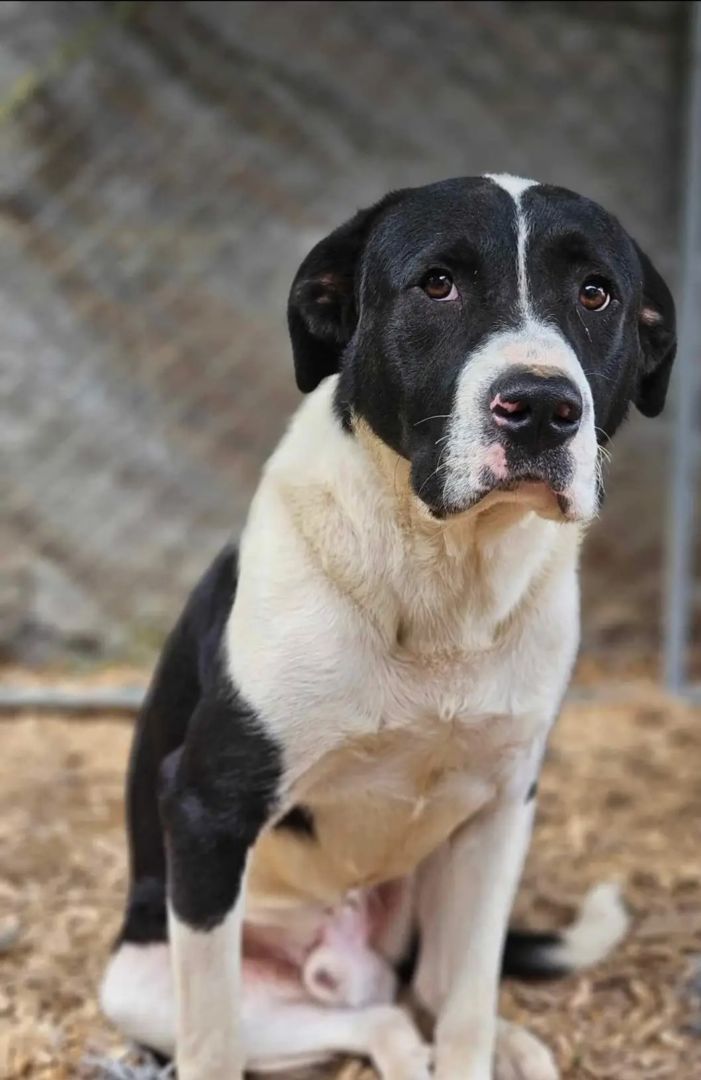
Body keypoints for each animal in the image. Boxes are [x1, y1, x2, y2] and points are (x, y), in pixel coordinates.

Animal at [100, 177, 673, 1080]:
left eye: (595, 293)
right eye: (436, 284)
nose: (541, 407)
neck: (446, 580)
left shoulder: (500, 811)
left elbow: (467, 1009)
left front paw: (482, 1047)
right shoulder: (203, 809)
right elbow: (213, 1042)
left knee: (424, 997)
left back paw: (509, 1045)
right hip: (145, 980)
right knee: (380, 1023)